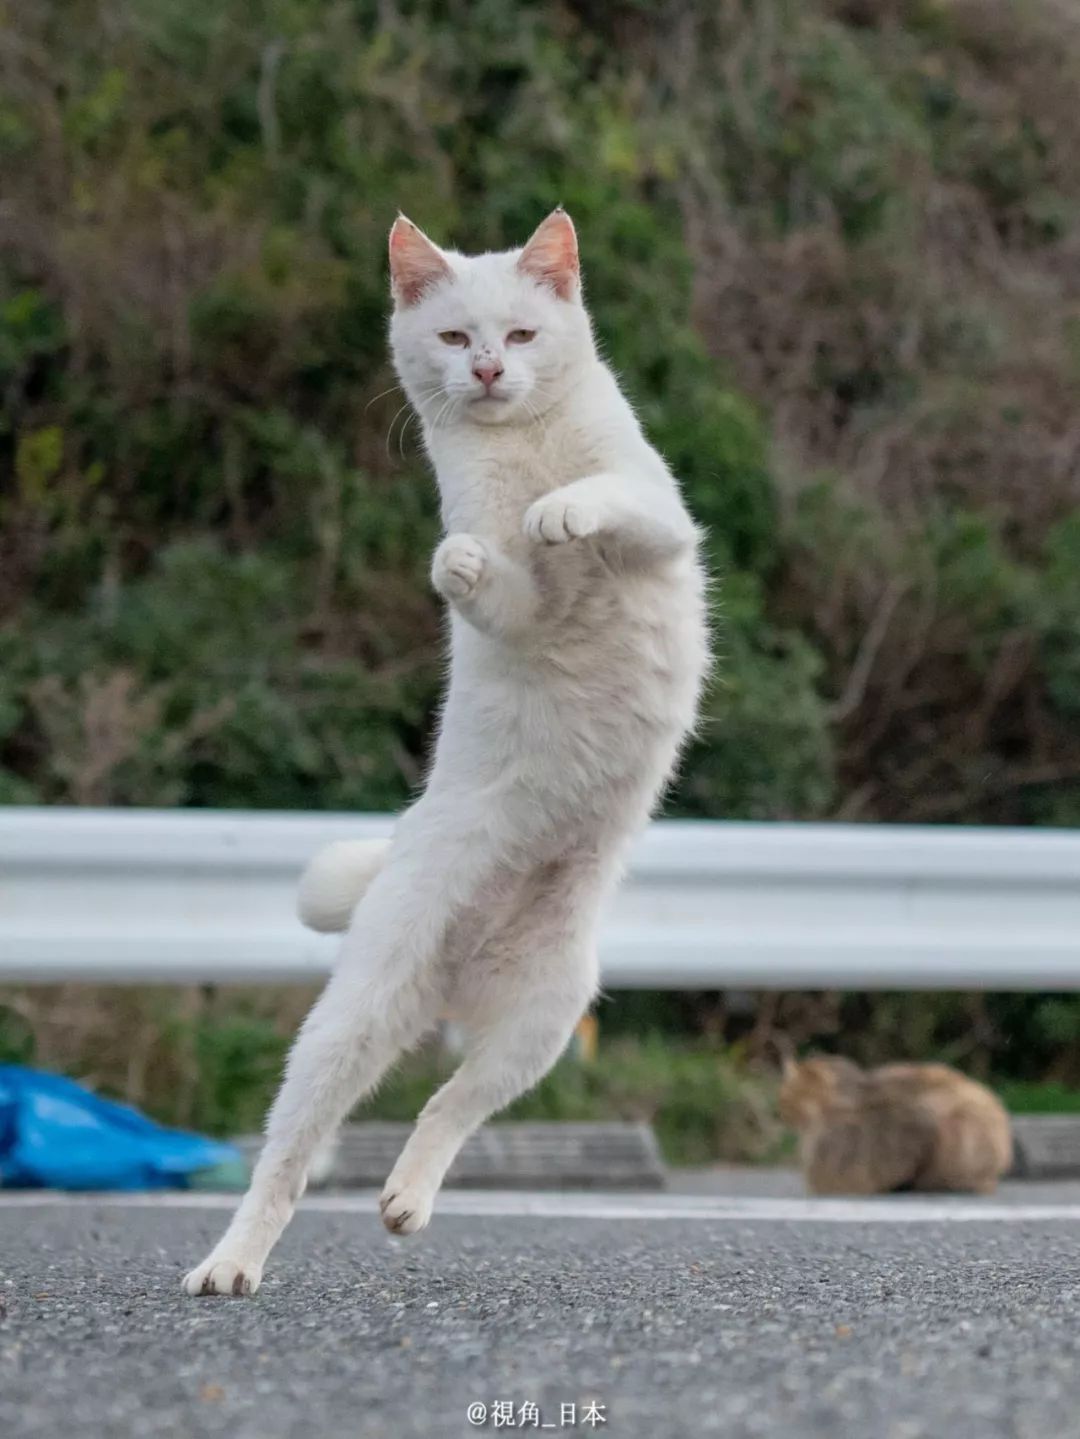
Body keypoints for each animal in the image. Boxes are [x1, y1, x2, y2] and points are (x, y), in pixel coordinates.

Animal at [184, 208, 710, 1300]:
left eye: (520, 335)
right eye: (458, 337)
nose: (488, 374)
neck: (526, 443)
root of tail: (458, 980)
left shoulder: (661, 521)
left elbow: (601, 496)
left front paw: (561, 512)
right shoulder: (520, 606)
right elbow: (494, 575)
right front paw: (469, 558)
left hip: (544, 1018)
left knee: (450, 1103)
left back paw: (406, 1197)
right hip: (354, 1018)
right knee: (288, 1158)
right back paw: (232, 1262)